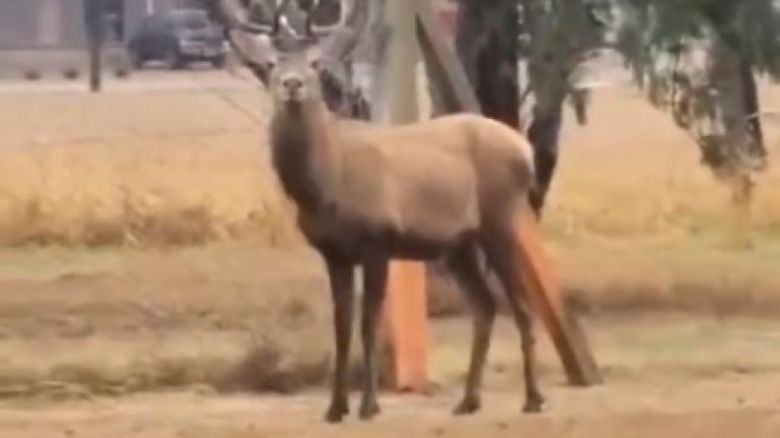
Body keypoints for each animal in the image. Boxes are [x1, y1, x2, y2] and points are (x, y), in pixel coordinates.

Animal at [207, 0, 544, 424]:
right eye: (271, 64)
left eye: (316, 63)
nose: (292, 84)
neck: (327, 185)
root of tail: (525, 150)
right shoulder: (333, 253)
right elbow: (341, 326)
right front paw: (335, 407)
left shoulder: (378, 242)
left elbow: (369, 324)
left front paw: (369, 405)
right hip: (457, 245)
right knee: (485, 304)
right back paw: (468, 401)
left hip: (500, 222)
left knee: (520, 302)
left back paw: (533, 398)